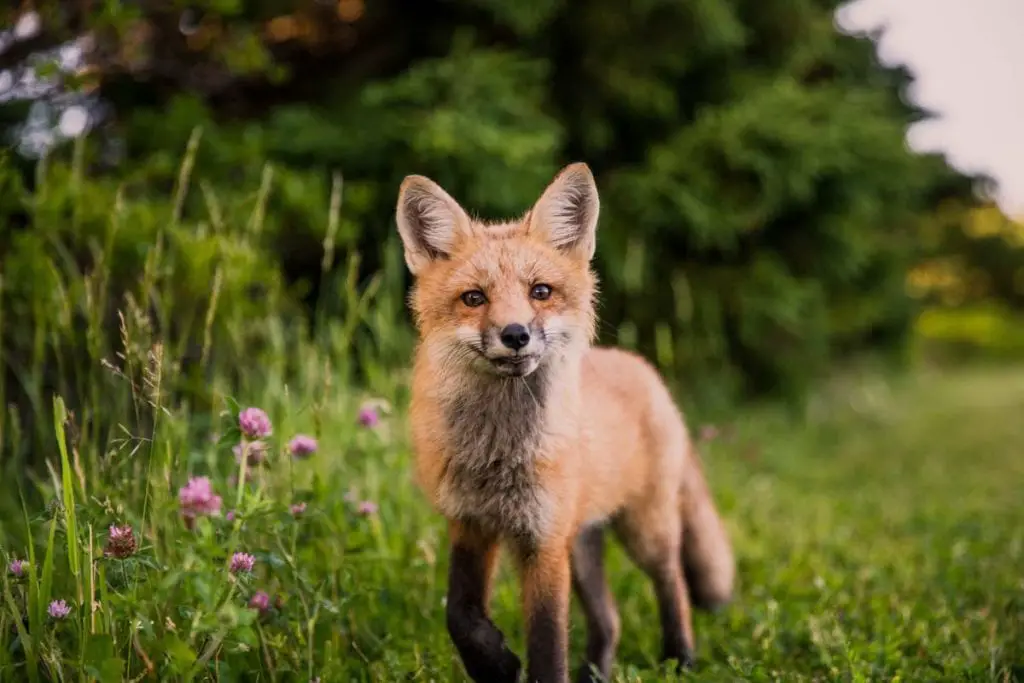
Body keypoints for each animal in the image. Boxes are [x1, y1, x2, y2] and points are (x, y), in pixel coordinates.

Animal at [393, 161, 737, 683]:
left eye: (540, 292)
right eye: (473, 298)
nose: (515, 334)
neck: (499, 455)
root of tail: (642, 367)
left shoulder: (544, 541)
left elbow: (548, 643)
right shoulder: (470, 523)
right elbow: (460, 613)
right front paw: (494, 663)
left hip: (644, 530)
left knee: (673, 582)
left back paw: (681, 659)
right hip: (583, 544)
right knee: (610, 619)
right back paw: (597, 672)